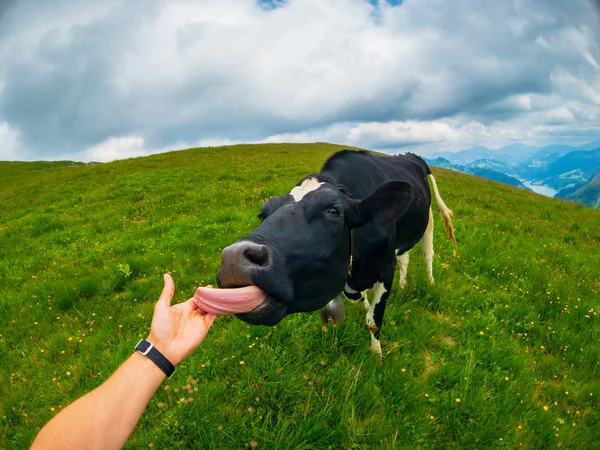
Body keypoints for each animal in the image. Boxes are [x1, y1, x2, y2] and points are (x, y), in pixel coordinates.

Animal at [216, 149, 454, 354]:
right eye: (263, 213)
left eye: (334, 210)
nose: (235, 262)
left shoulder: (386, 268)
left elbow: (374, 322)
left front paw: (377, 356)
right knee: (405, 257)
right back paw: (403, 286)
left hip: (428, 220)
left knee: (428, 253)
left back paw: (431, 282)